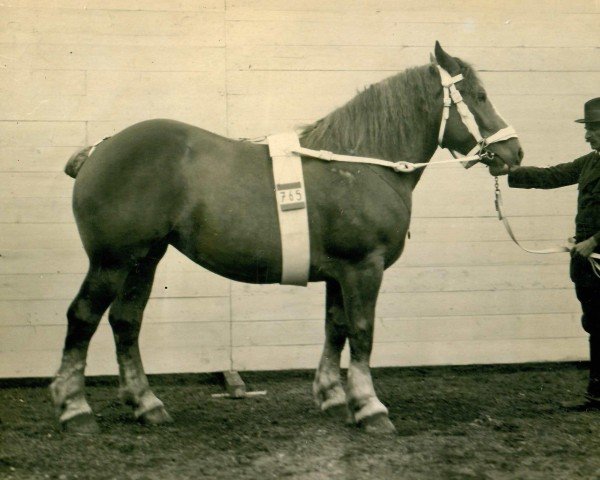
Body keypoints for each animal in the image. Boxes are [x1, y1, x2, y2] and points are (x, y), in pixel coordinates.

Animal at [50, 42, 520, 436]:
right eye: (478, 96)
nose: (514, 152)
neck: (362, 163)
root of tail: (99, 150)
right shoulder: (362, 268)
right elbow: (362, 331)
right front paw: (369, 406)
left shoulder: (339, 274)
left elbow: (336, 328)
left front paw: (332, 395)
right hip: (111, 261)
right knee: (83, 317)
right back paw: (74, 407)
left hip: (143, 260)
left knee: (125, 321)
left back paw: (146, 404)